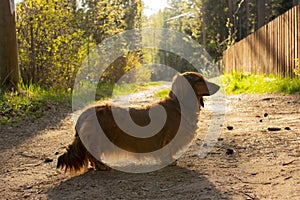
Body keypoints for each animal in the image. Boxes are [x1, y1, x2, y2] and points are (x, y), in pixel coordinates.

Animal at [56, 71, 220, 172]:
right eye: (199, 80)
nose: (219, 86)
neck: (179, 106)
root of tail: (85, 113)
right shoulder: (166, 138)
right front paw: (170, 161)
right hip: (98, 138)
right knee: (92, 154)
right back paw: (102, 166)